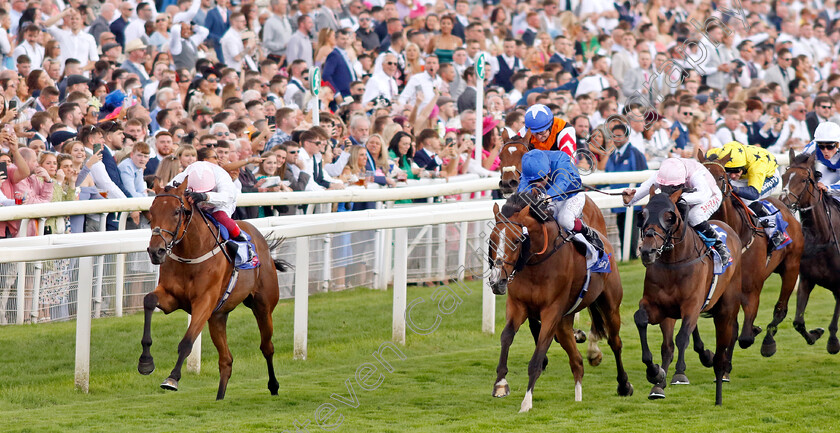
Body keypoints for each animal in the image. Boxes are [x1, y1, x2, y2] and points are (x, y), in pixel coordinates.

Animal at [139, 179, 290, 398]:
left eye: (177, 211)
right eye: (151, 212)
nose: (155, 251)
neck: (191, 254)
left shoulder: (204, 302)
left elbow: (187, 342)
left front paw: (172, 378)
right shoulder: (171, 297)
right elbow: (149, 300)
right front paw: (145, 362)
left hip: (263, 306)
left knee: (267, 347)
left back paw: (274, 386)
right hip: (218, 317)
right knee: (226, 360)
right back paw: (219, 399)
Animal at [486, 192, 632, 412]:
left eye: (517, 240)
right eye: (493, 240)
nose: (497, 281)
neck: (536, 265)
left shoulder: (551, 312)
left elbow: (537, 358)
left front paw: (526, 402)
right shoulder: (518, 306)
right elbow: (506, 337)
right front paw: (500, 384)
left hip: (610, 306)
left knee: (615, 342)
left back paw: (623, 385)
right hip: (564, 323)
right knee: (577, 361)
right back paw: (578, 398)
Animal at [636, 187, 740, 404]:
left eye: (669, 217)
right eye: (643, 214)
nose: (647, 251)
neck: (673, 264)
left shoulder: (691, 305)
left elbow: (682, 337)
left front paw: (679, 374)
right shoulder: (659, 308)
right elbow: (643, 322)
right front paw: (656, 375)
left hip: (727, 302)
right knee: (672, 342)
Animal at [700, 149, 804, 358]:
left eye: (721, 177)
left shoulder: (750, 291)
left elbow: (745, 337)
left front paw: (755, 331)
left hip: (791, 267)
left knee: (781, 308)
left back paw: (768, 341)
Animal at [776, 150, 840, 352]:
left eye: (804, 180)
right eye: (784, 177)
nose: (783, 202)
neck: (822, 238)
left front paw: (833, 342)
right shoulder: (806, 279)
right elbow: (798, 322)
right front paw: (815, 334)